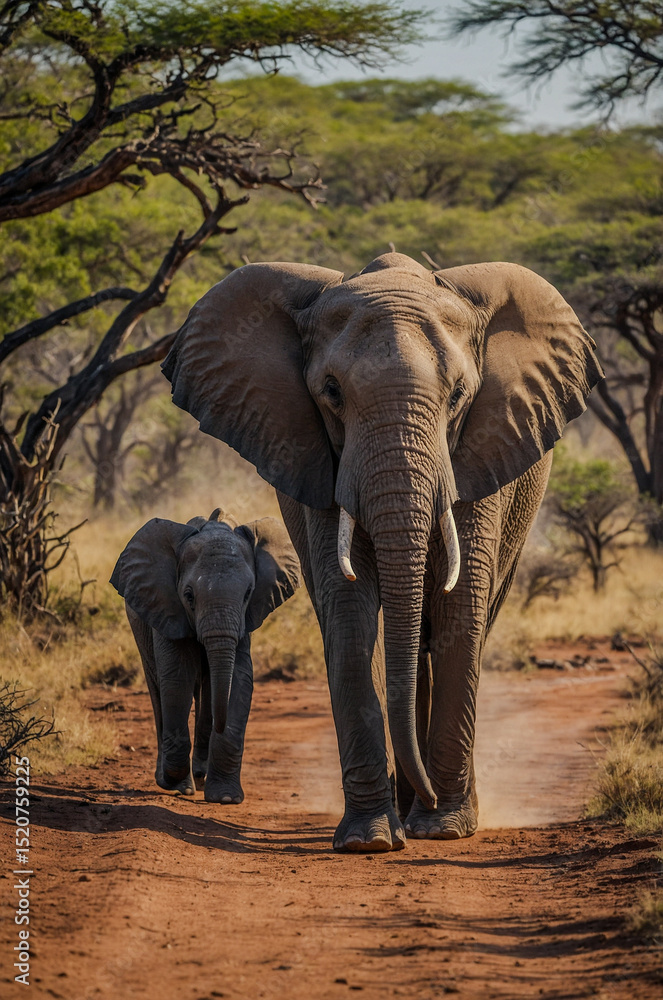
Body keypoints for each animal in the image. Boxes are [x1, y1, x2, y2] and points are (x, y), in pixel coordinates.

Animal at [110, 509, 300, 802]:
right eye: (189, 596)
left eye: (248, 593)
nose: (218, 728)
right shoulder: (166, 605)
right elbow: (177, 676)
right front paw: (177, 783)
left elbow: (238, 679)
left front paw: (225, 798)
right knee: (158, 687)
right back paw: (177, 780)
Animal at [161, 252, 603, 850]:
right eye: (331, 392)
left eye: (459, 395)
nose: (432, 806)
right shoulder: (319, 462)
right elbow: (350, 615)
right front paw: (368, 839)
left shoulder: (478, 453)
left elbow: (460, 609)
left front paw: (444, 829)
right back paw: (407, 809)